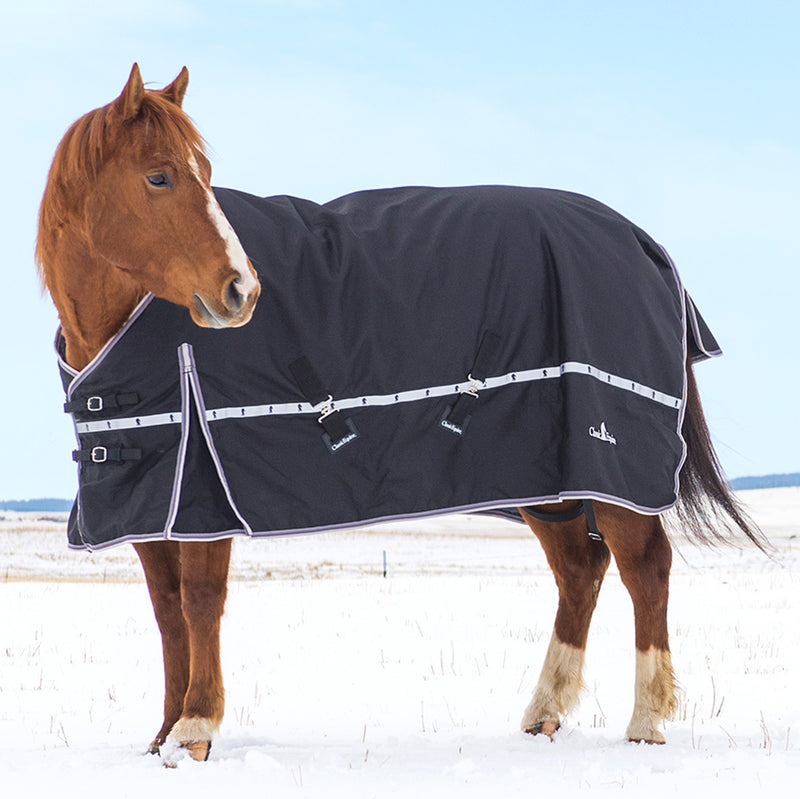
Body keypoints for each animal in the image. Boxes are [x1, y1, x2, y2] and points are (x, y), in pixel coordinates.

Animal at [37, 64, 764, 763]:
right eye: (158, 175)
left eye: (207, 175)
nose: (241, 290)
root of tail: (642, 242)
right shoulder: (151, 498)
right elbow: (166, 613)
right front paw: (162, 735)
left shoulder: (203, 489)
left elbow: (198, 603)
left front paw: (195, 729)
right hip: (547, 478)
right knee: (580, 569)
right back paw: (544, 713)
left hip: (609, 465)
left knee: (646, 567)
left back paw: (646, 722)